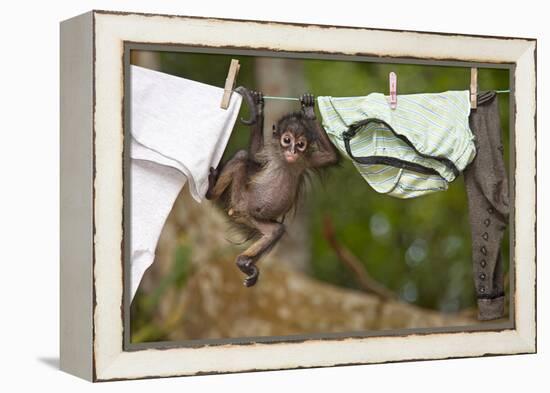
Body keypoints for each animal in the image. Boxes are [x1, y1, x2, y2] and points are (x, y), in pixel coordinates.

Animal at [205, 87, 338, 286]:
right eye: (286, 140)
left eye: (300, 144)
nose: (292, 151)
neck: (286, 161)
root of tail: (238, 210)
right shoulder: (271, 152)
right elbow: (254, 154)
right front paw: (259, 106)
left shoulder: (306, 160)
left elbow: (331, 157)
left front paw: (309, 111)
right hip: (240, 196)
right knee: (242, 156)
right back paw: (211, 192)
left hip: (252, 217)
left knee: (276, 230)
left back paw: (243, 261)